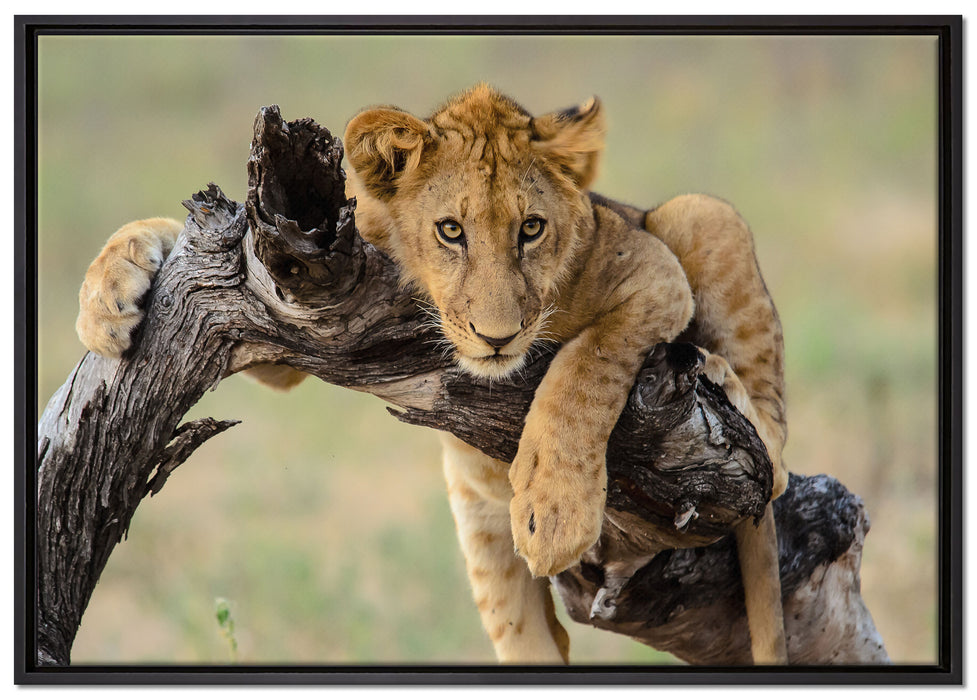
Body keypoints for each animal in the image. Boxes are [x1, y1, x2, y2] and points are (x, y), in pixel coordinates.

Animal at [76, 84, 788, 665]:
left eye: (532, 228)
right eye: (450, 231)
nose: (497, 337)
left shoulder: (655, 277)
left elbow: (584, 368)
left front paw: (555, 509)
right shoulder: (296, 291)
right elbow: (185, 238)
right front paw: (107, 295)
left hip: (701, 215)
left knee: (774, 459)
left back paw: (721, 378)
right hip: (485, 546)